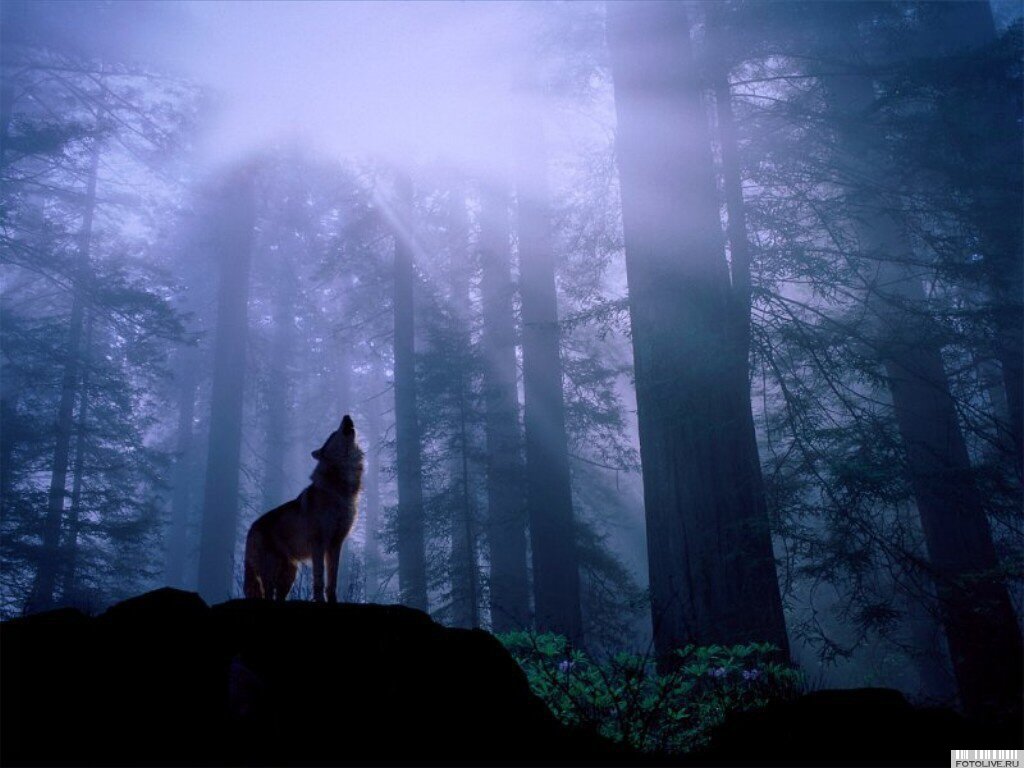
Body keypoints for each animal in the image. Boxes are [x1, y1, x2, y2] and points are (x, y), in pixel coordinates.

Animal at [243, 414, 364, 602]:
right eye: (333, 433)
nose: (347, 415)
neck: (340, 489)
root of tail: (251, 528)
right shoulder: (318, 545)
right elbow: (319, 580)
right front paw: (320, 600)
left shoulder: (336, 544)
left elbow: (332, 582)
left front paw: (333, 601)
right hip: (270, 574)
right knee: (268, 595)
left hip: (289, 575)